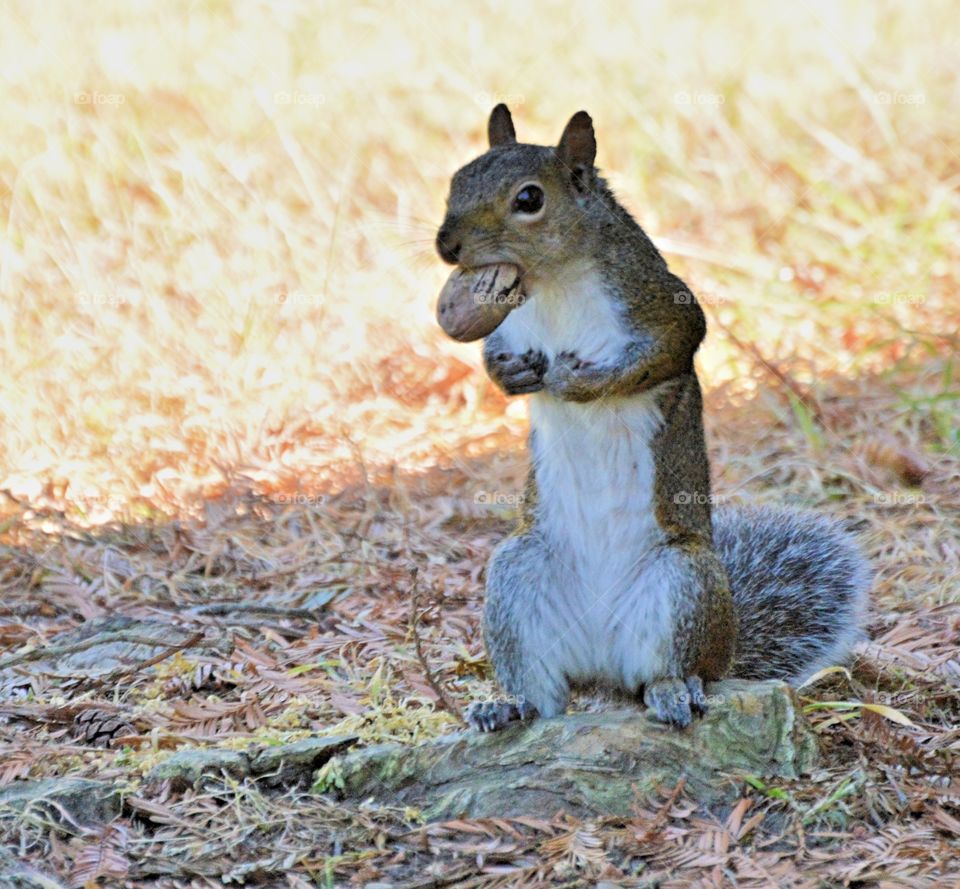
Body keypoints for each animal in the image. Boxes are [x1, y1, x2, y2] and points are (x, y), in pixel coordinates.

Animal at [436, 105, 872, 731]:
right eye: (457, 178)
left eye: (529, 198)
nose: (447, 246)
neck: (554, 282)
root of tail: (603, 667)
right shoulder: (510, 328)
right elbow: (494, 358)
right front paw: (512, 376)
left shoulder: (663, 306)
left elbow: (665, 352)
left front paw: (579, 383)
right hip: (517, 579)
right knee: (544, 694)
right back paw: (509, 706)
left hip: (683, 583)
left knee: (673, 670)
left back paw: (672, 691)